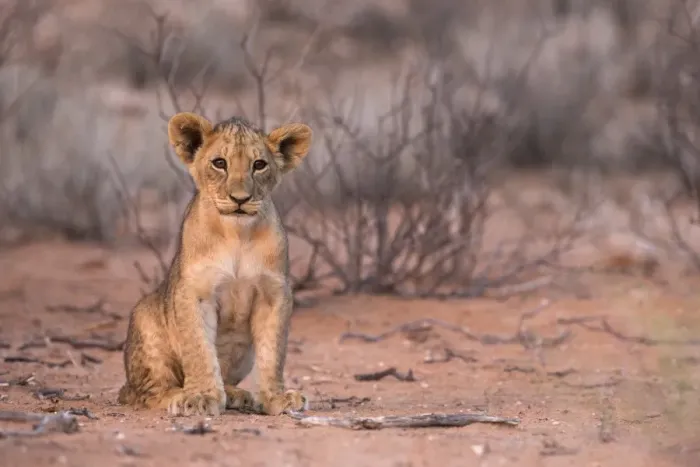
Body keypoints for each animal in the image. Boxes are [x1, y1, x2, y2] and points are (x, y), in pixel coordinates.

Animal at [117, 112, 312, 416]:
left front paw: (277, 398)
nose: (240, 199)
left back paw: (236, 395)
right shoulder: (194, 291)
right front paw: (201, 397)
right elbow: (199, 350)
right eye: (220, 163)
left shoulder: (274, 292)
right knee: (146, 392)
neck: (237, 233)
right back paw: (179, 395)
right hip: (144, 316)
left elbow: (274, 351)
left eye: (259, 165)